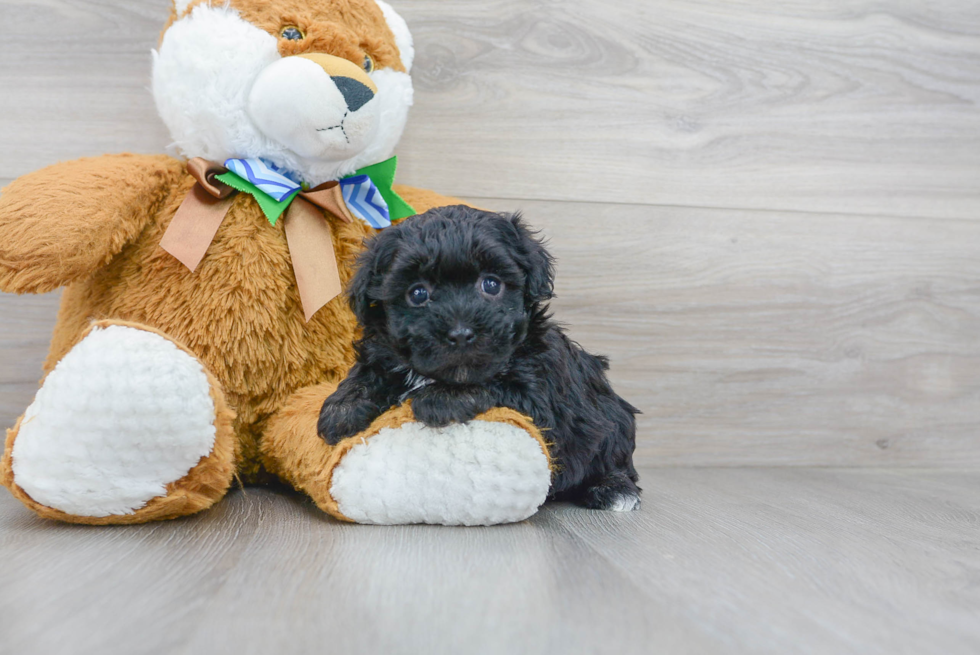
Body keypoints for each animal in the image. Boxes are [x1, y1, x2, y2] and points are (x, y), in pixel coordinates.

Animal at [320, 205, 644, 512]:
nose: (461, 333)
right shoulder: (384, 352)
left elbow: (495, 385)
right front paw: (342, 409)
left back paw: (614, 490)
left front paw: (441, 398)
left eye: (491, 284)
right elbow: (367, 373)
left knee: (615, 459)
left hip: (613, 421)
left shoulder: (542, 394)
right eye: (418, 293)